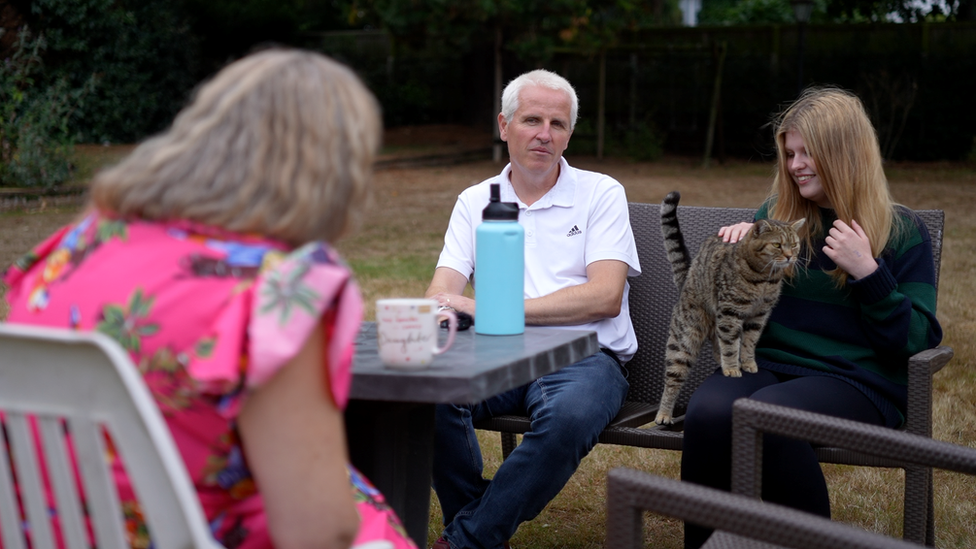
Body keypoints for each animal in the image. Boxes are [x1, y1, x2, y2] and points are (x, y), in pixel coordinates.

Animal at [652, 191, 804, 426]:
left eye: (795, 244)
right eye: (778, 245)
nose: (790, 256)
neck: (764, 279)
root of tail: (686, 280)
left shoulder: (758, 315)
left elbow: (749, 342)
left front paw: (747, 363)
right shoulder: (730, 312)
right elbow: (731, 345)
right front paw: (733, 368)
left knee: (718, 346)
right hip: (684, 341)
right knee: (672, 379)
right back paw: (664, 413)